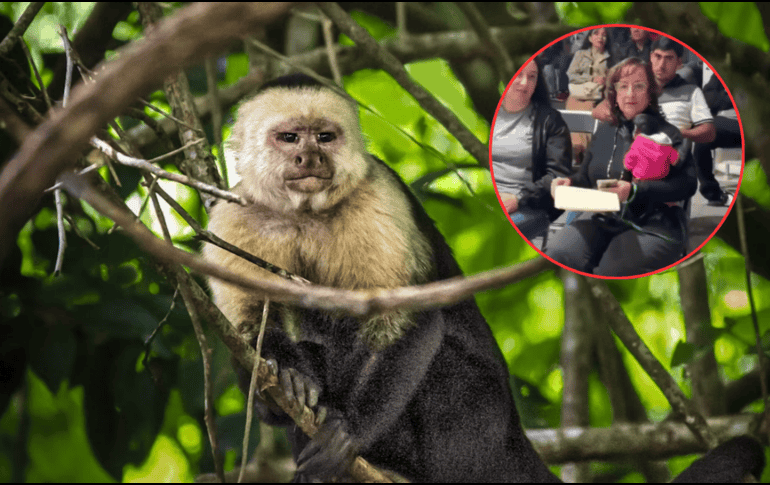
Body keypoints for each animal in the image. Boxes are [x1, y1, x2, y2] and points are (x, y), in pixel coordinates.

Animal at [202, 73, 765, 482]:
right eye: (289, 137)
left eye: (325, 136)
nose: (310, 157)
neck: (306, 212)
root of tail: (514, 439)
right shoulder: (233, 218)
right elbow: (247, 326)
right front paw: (287, 371)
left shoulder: (375, 200)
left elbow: (415, 320)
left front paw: (350, 433)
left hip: (478, 435)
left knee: (446, 366)